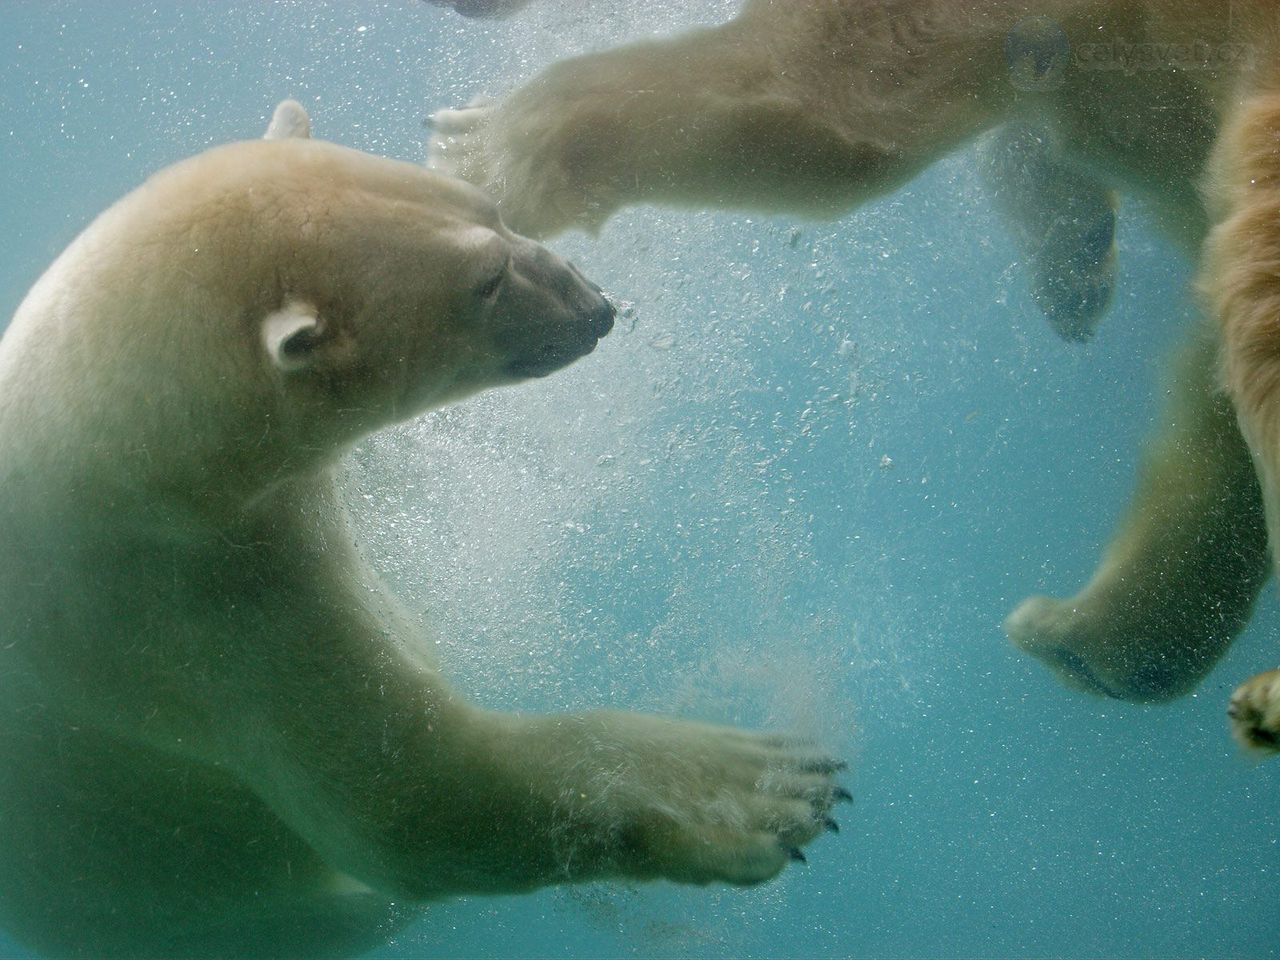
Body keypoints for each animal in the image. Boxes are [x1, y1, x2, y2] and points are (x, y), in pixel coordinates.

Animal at [0, 101, 849, 957]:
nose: (598, 307)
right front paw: (764, 787)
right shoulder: (187, 615)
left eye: (495, 210)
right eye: (487, 281)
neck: (130, 456)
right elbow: (411, 801)